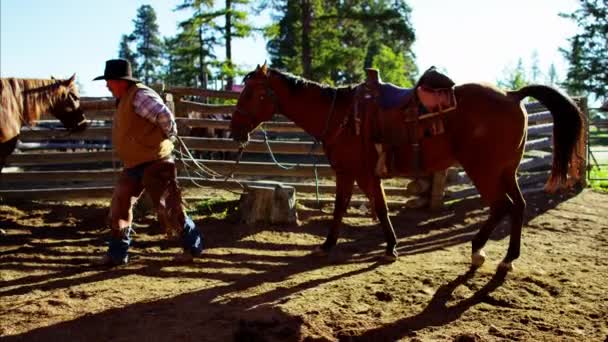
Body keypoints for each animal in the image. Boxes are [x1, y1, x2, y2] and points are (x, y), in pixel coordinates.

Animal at [229, 63, 584, 272]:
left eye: (251, 93)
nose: (234, 130)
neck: (343, 115)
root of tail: (513, 94)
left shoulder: (354, 171)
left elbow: (360, 208)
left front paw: (372, 247)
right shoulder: (357, 173)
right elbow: (363, 207)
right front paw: (381, 246)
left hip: (483, 170)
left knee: (501, 206)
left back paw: (477, 251)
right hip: (506, 170)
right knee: (519, 206)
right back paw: (508, 259)